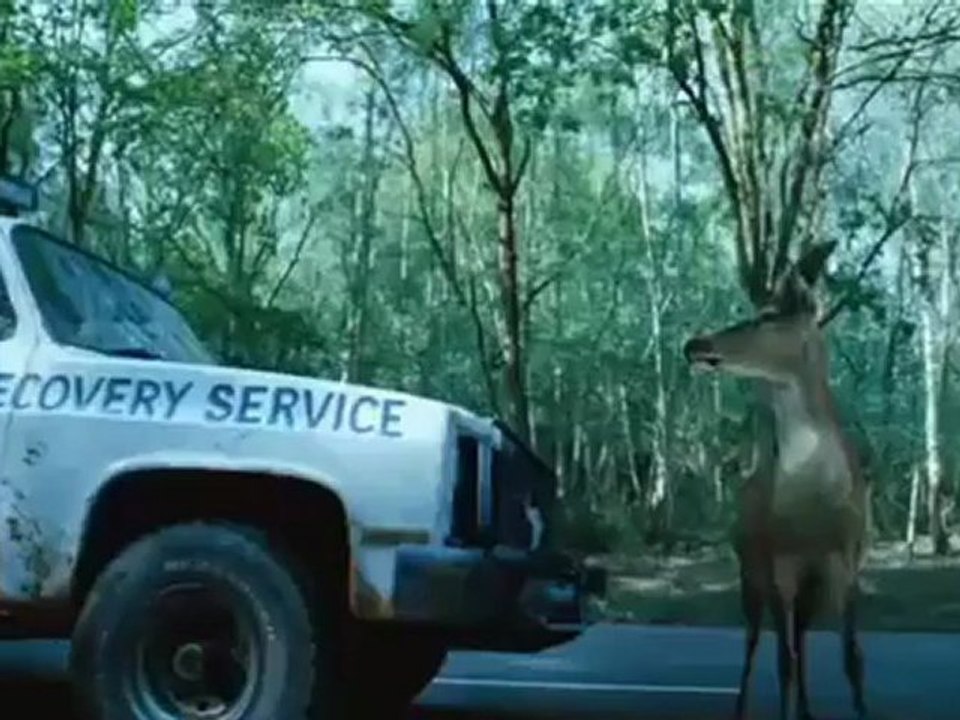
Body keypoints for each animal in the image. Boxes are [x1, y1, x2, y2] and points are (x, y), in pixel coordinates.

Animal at [682, 241, 871, 720]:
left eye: (767, 315)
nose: (694, 344)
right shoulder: (779, 563)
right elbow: (783, 661)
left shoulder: (846, 561)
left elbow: (852, 659)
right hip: (751, 573)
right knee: (756, 644)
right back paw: (741, 709)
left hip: (808, 589)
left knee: (799, 640)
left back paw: (806, 711)